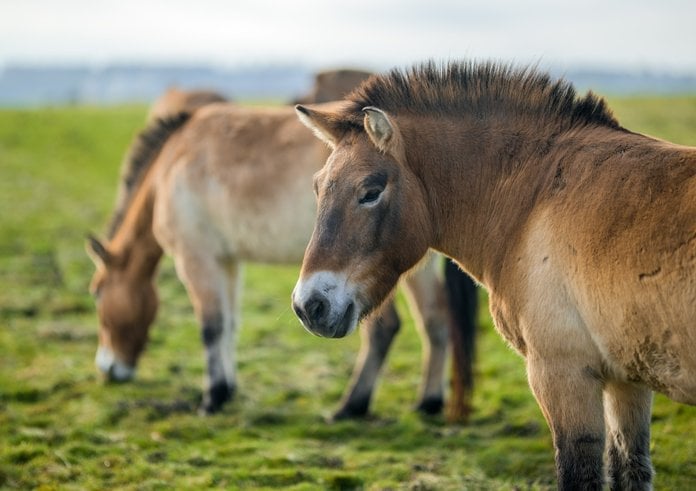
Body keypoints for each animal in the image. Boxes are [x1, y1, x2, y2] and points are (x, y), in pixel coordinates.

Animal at [87, 88, 478, 418]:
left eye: (97, 293)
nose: (108, 368)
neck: (172, 163)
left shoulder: (197, 259)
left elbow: (212, 327)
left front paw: (213, 398)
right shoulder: (228, 261)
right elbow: (230, 324)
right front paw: (227, 389)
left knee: (385, 328)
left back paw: (352, 406)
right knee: (435, 319)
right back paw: (428, 402)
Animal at [294, 62, 696, 491]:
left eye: (370, 191)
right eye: (317, 188)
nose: (309, 306)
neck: (534, 200)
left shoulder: (563, 374)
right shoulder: (626, 380)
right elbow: (629, 467)